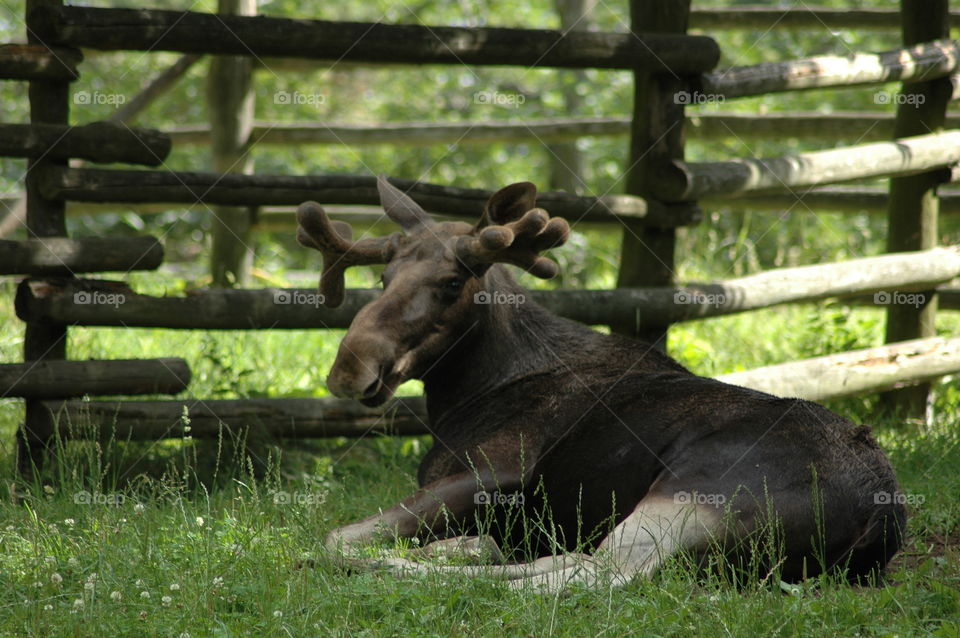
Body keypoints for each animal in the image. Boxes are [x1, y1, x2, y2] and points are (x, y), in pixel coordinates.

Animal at [300, 176, 908, 596]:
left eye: (452, 283)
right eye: (383, 278)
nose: (351, 366)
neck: (466, 394)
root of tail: (881, 517)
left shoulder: (492, 474)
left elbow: (332, 536)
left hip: (691, 497)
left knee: (594, 576)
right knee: (566, 561)